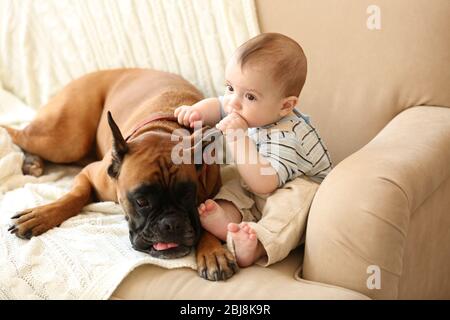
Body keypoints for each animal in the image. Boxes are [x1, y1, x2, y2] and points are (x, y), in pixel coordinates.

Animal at [1, 69, 237, 282]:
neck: (163, 129)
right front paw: (42, 215)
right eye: (141, 202)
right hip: (63, 141)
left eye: (188, 196)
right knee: (16, 133)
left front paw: (212, 252)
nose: (171, 224)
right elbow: (74, 196)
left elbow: (207, 218)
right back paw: (31, 161)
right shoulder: (89, 175)